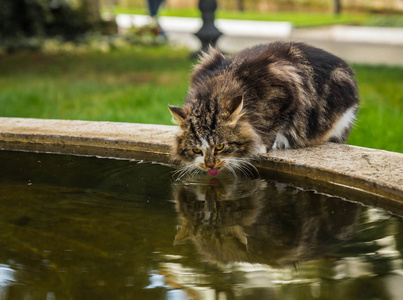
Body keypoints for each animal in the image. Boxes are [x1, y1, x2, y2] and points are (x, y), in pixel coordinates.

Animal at [168, 40, 360, 176]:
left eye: (220, 147)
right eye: (196, 150)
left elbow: (274, 125)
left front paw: (262, 146)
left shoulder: (286, 90)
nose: (209, 165)